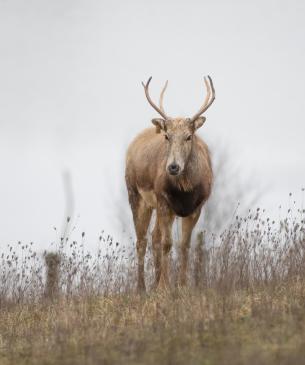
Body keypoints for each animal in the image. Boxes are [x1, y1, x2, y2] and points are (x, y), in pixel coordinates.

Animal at [124, 75, 215, 292]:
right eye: (167, 136)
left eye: (189, 136)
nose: (173, 166)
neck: (185, 191)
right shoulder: (163, 200)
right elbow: (167, 243)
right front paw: (164, 287)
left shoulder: (196, 206)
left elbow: (184, 244)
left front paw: (182, 285)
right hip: (136, 194)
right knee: (142, 240)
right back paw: (141, 288)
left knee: (154, 236)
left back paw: (153, 283)